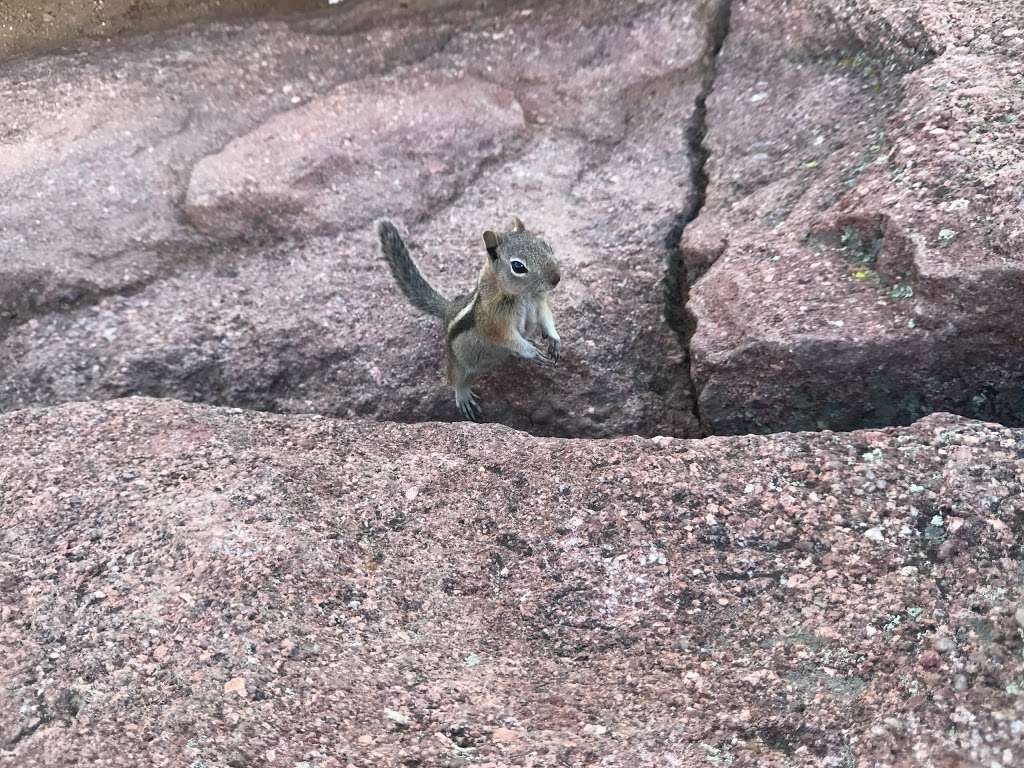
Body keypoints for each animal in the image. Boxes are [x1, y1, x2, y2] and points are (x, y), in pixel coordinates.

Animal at [378, 215, 561, 421]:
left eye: (546, 245)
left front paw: (554, 339)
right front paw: (532, 352)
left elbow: (546, 317)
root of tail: (449, 310)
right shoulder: (495, 321)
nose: (556, 278)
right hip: (458, 362)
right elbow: (507, 337)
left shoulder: (540, 302)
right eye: (518, 266)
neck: (525, 295)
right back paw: (463, 394)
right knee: (456, 379)